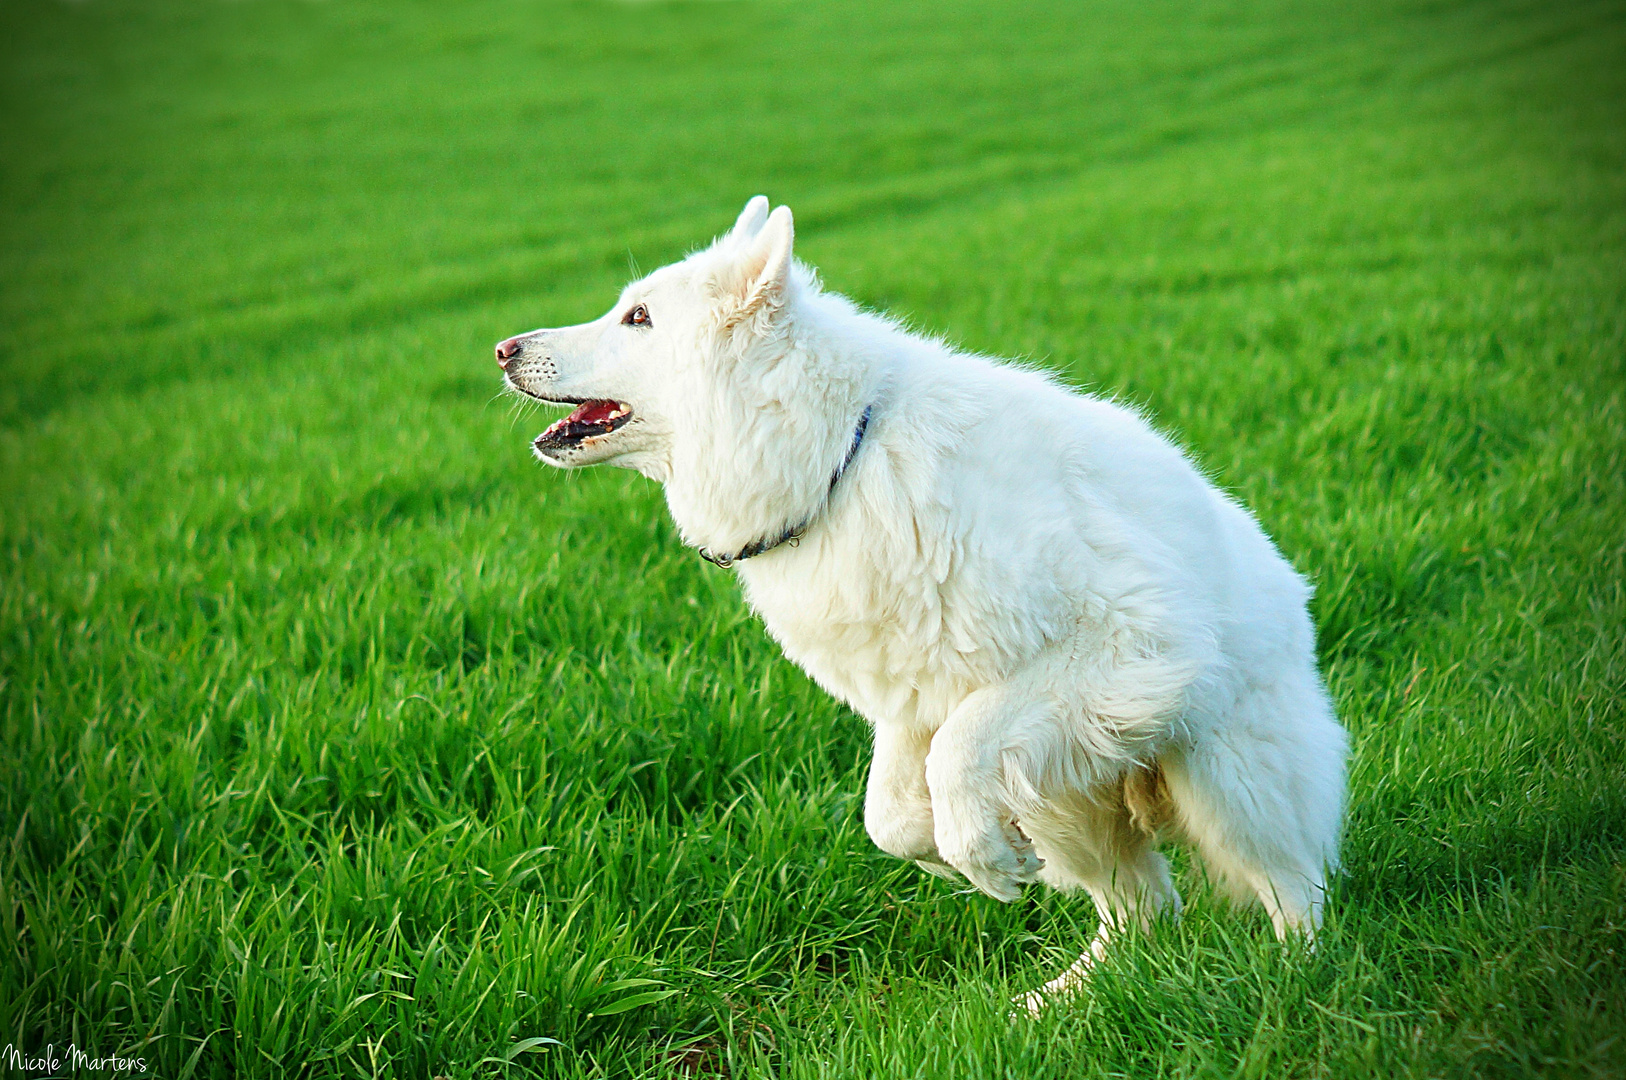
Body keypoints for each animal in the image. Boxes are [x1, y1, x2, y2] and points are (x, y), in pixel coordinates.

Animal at [494, 195, 1346, 1001]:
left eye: (637, 318)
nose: (503, 350)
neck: (844, 453)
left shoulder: (1124, 640)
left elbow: (960, 749)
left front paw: (980, 855)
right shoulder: (911, 703)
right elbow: (892, 816)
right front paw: (968, 855)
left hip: (1224, 779)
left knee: (1293, 887)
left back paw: (1293, 979)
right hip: (1071, 794)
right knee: (1141, 909)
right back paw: (1062, 999)